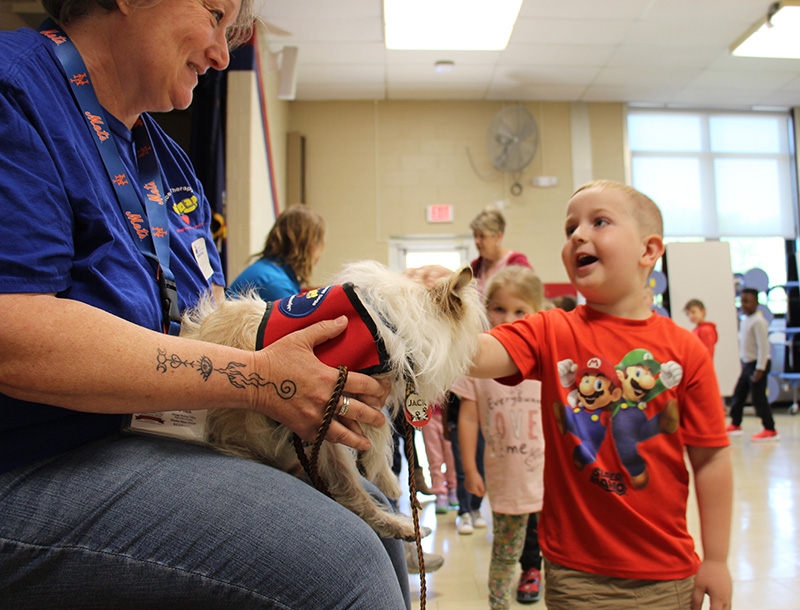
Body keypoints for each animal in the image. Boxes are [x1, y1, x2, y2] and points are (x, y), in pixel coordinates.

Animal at [180, 260, 482, 536]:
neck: (388, 322)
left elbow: (378, 425)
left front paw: (383, 476)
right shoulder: (348, 391)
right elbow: (379, 428)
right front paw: (377, 469)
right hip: (322, 441)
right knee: (352, 494)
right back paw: (399, 525)